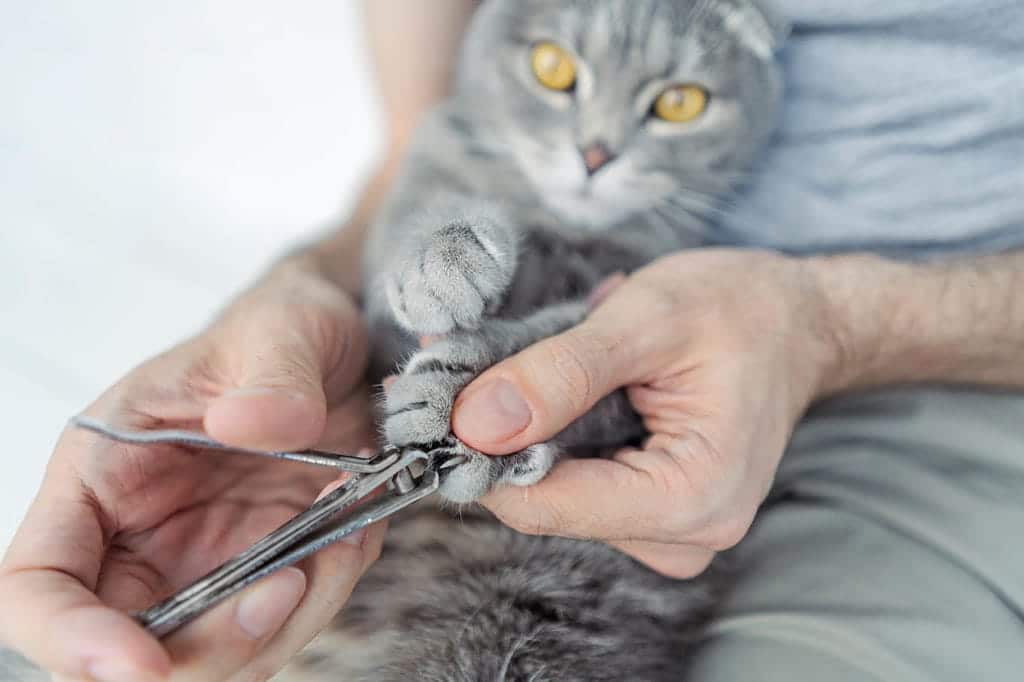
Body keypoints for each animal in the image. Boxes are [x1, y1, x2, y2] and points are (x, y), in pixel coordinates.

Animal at [282, 1, 790, 679]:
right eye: (553, 68)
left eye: (678, 103)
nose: (595, 153)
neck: (557, 228)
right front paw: (444, 257)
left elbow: (572, 350)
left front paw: (466, 400)